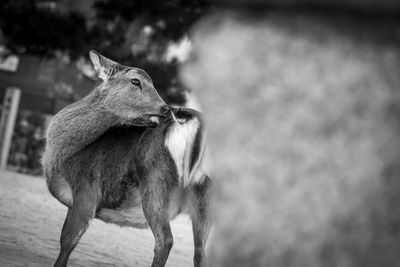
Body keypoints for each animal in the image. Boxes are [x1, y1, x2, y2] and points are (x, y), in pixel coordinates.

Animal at [43, 51, 212, 267]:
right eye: (135, 81)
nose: (166, 109)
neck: (64, 156)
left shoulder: (86, 189)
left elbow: (67, 241)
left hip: (155, 179)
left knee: (165, 240)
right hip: (206, 196)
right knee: (201, 253)